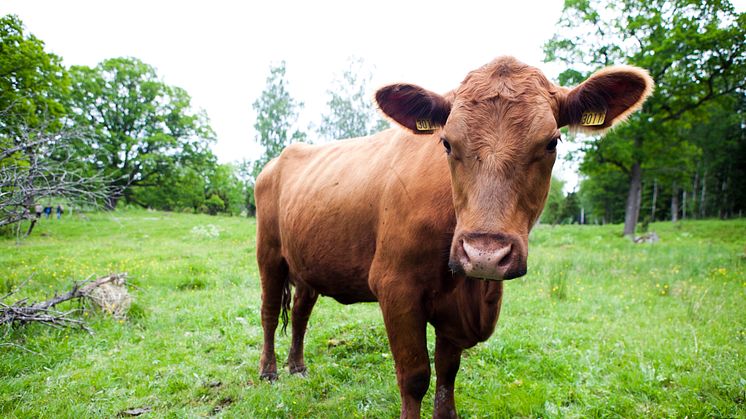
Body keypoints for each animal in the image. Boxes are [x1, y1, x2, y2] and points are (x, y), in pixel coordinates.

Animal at [256, 56, 652, 419]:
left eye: (552, 142)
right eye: (446, 143)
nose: (485, 254)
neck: (473, 293)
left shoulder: (455, 307)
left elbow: (448, 372)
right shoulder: (395, 288)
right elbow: (415, 376)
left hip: (308, 263)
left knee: (301, 312)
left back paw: (297, 367)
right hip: (269, 255)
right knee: (269, 312)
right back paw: (269, 371)